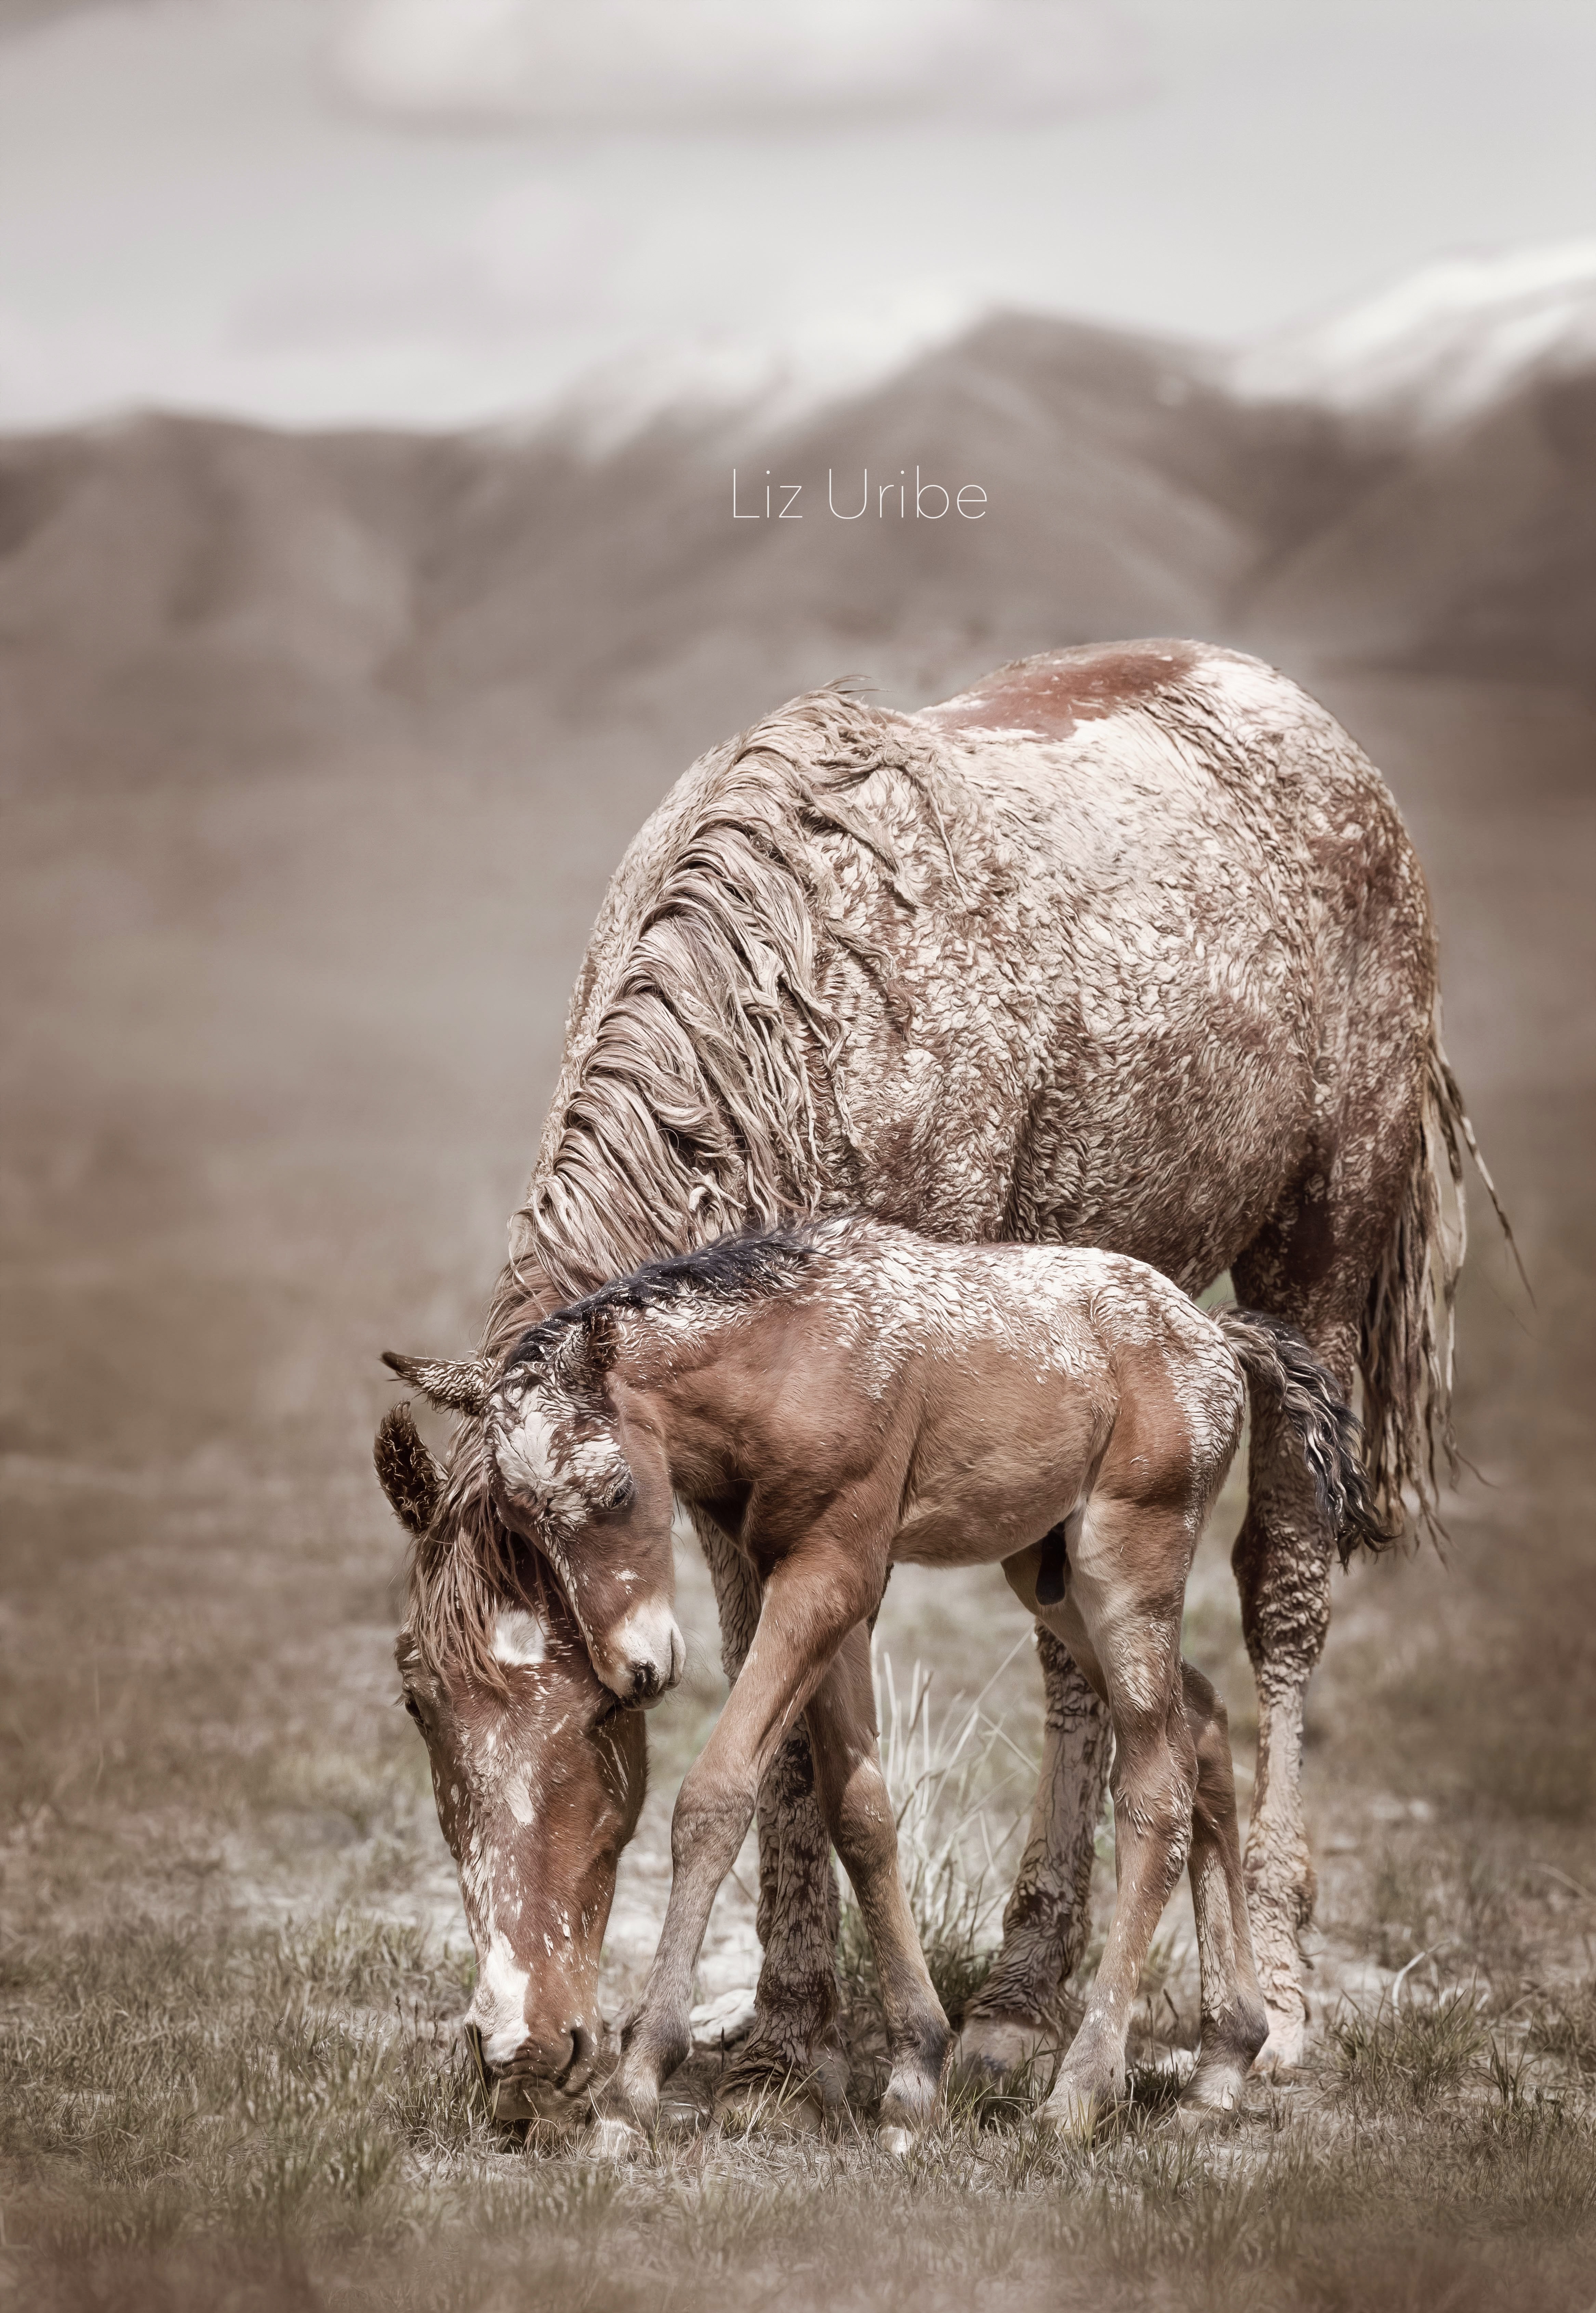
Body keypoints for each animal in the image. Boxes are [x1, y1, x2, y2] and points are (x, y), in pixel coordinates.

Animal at [469, 1215, 1386, 2141]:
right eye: (523, 1523)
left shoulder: (829, 1574)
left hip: (1128, 1571)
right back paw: (1223, 2061)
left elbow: (716, 1793)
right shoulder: (823, 1590)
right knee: (1198, 1722)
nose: (638, 1668)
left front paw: (633, 2086)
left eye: (617, 1491)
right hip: (1053, 1581)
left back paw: (1082, 2090)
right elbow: (860, 1812)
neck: (794, 1349)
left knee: (1156, 1787)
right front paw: (915, 2072)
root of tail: (1215, 1336)